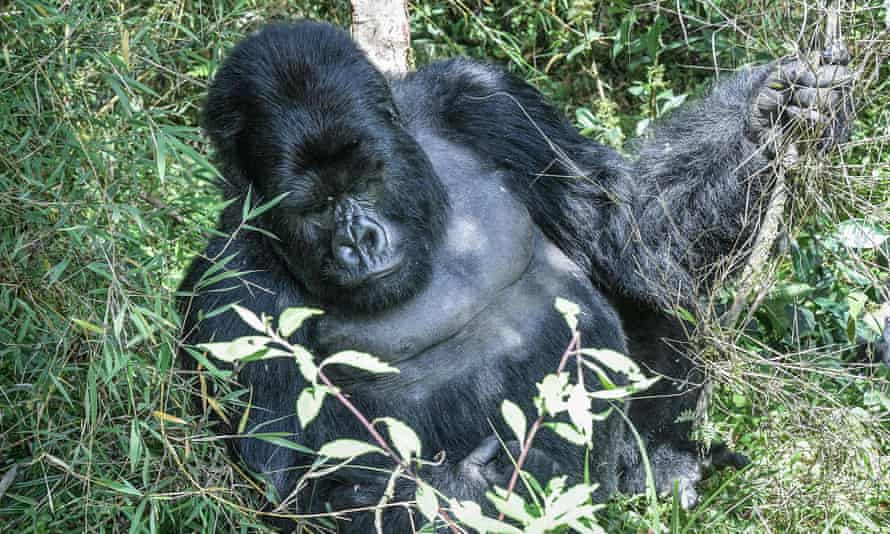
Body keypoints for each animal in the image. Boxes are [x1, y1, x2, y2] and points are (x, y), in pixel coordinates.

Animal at [177, 19, 848, 532]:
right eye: (313, 208)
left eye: (367, 179)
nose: (359, 241)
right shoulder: (227, 298)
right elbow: (300, 487)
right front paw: (474, 485)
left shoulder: (483, 98)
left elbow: (627, 228)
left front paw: (770, 110)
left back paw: (662, 457)